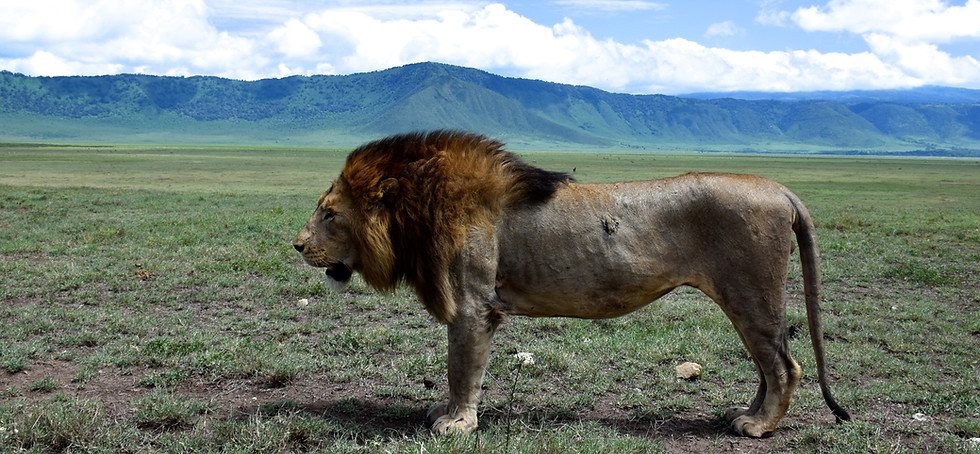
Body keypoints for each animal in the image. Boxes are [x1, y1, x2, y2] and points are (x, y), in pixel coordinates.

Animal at [293, 130, 850, 438]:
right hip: (745, 300)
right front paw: (444, 413)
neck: (418, 213)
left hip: (751, 293)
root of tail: (780, 189)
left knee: (784, 366)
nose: (296, 245)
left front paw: (457, 424)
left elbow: (461, 369)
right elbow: (456, 373)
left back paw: (758, 428)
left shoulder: (474, 306)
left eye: (330, 214)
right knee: (767, 367)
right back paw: (743, 415)